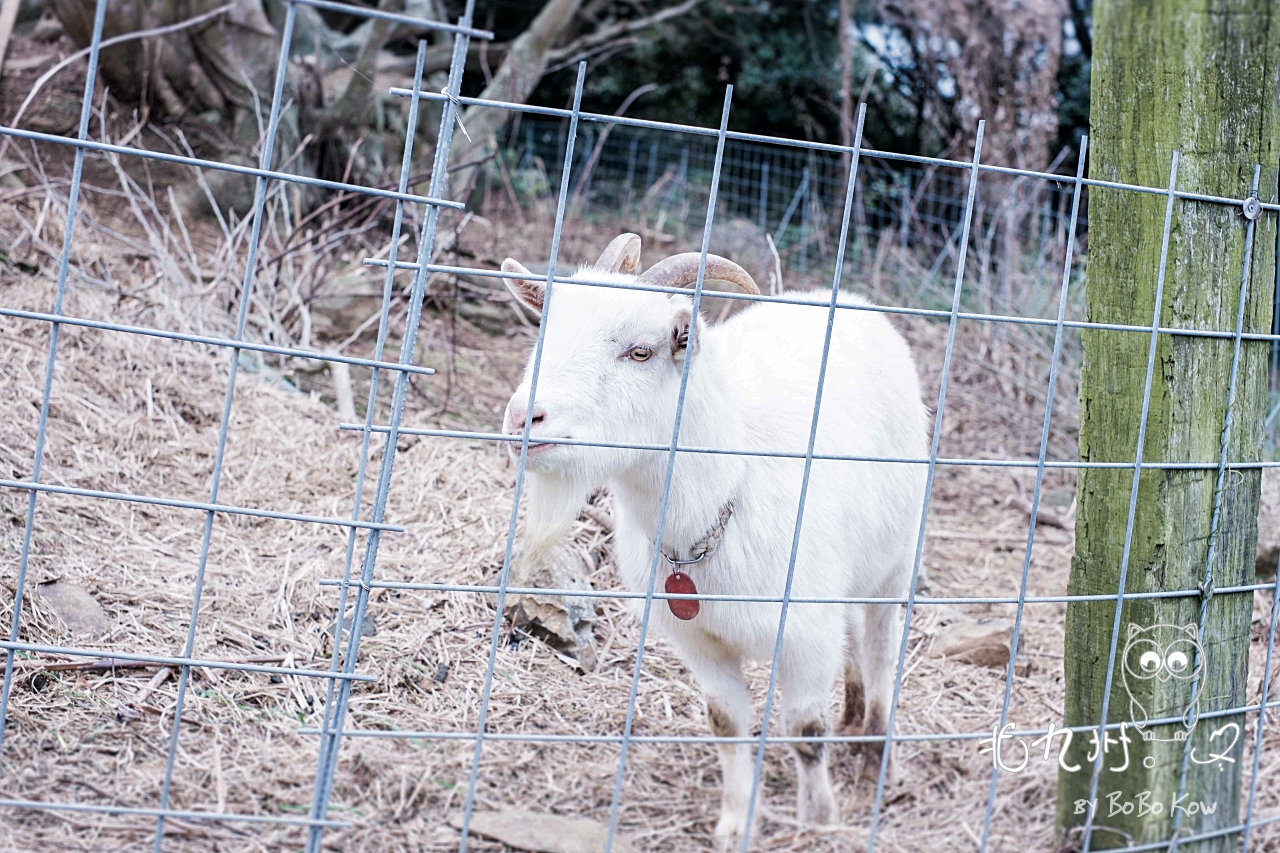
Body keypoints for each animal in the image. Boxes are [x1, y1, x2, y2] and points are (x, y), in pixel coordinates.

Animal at [494, 233, 926, 845]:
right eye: (544, 330)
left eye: (642, 352)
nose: (522, 418)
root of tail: (848, 300)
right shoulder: (698, 641)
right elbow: (725, 723)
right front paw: (733, 822)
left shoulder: (806, 634)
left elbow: (806, 730)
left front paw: (818, 820)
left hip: (899, 554)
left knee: (882, 641)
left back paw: (873, 749)